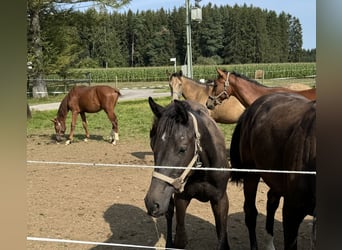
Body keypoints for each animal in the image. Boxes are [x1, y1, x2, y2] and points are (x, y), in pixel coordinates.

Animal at [144, 96, 230, 249]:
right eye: (152, 146)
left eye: (182, 149)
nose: (152, 202)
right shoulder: (181, 198)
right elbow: (180, 239)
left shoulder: (220, 199)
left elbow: (221, 236)